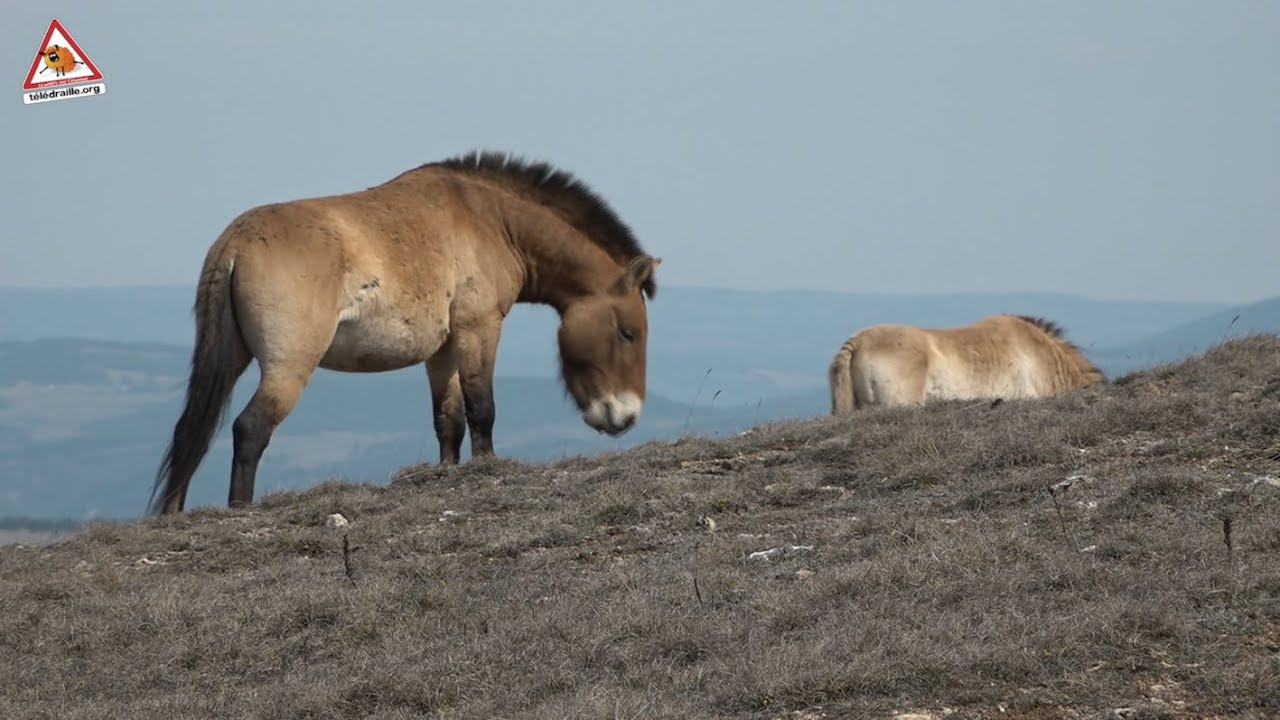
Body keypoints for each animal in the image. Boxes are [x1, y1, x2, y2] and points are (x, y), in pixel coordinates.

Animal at [150, 151, 661, 514]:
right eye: (628, 333)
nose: (626, 416)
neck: (491, 219)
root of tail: (234, 244)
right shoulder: (479, 329)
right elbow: (482, 410)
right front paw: (487, 468)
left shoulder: (442, 351)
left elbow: (449, 422)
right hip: (289, 366)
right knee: (250, 429)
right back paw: (240, 509)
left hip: (229, 360)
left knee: (193, 434)